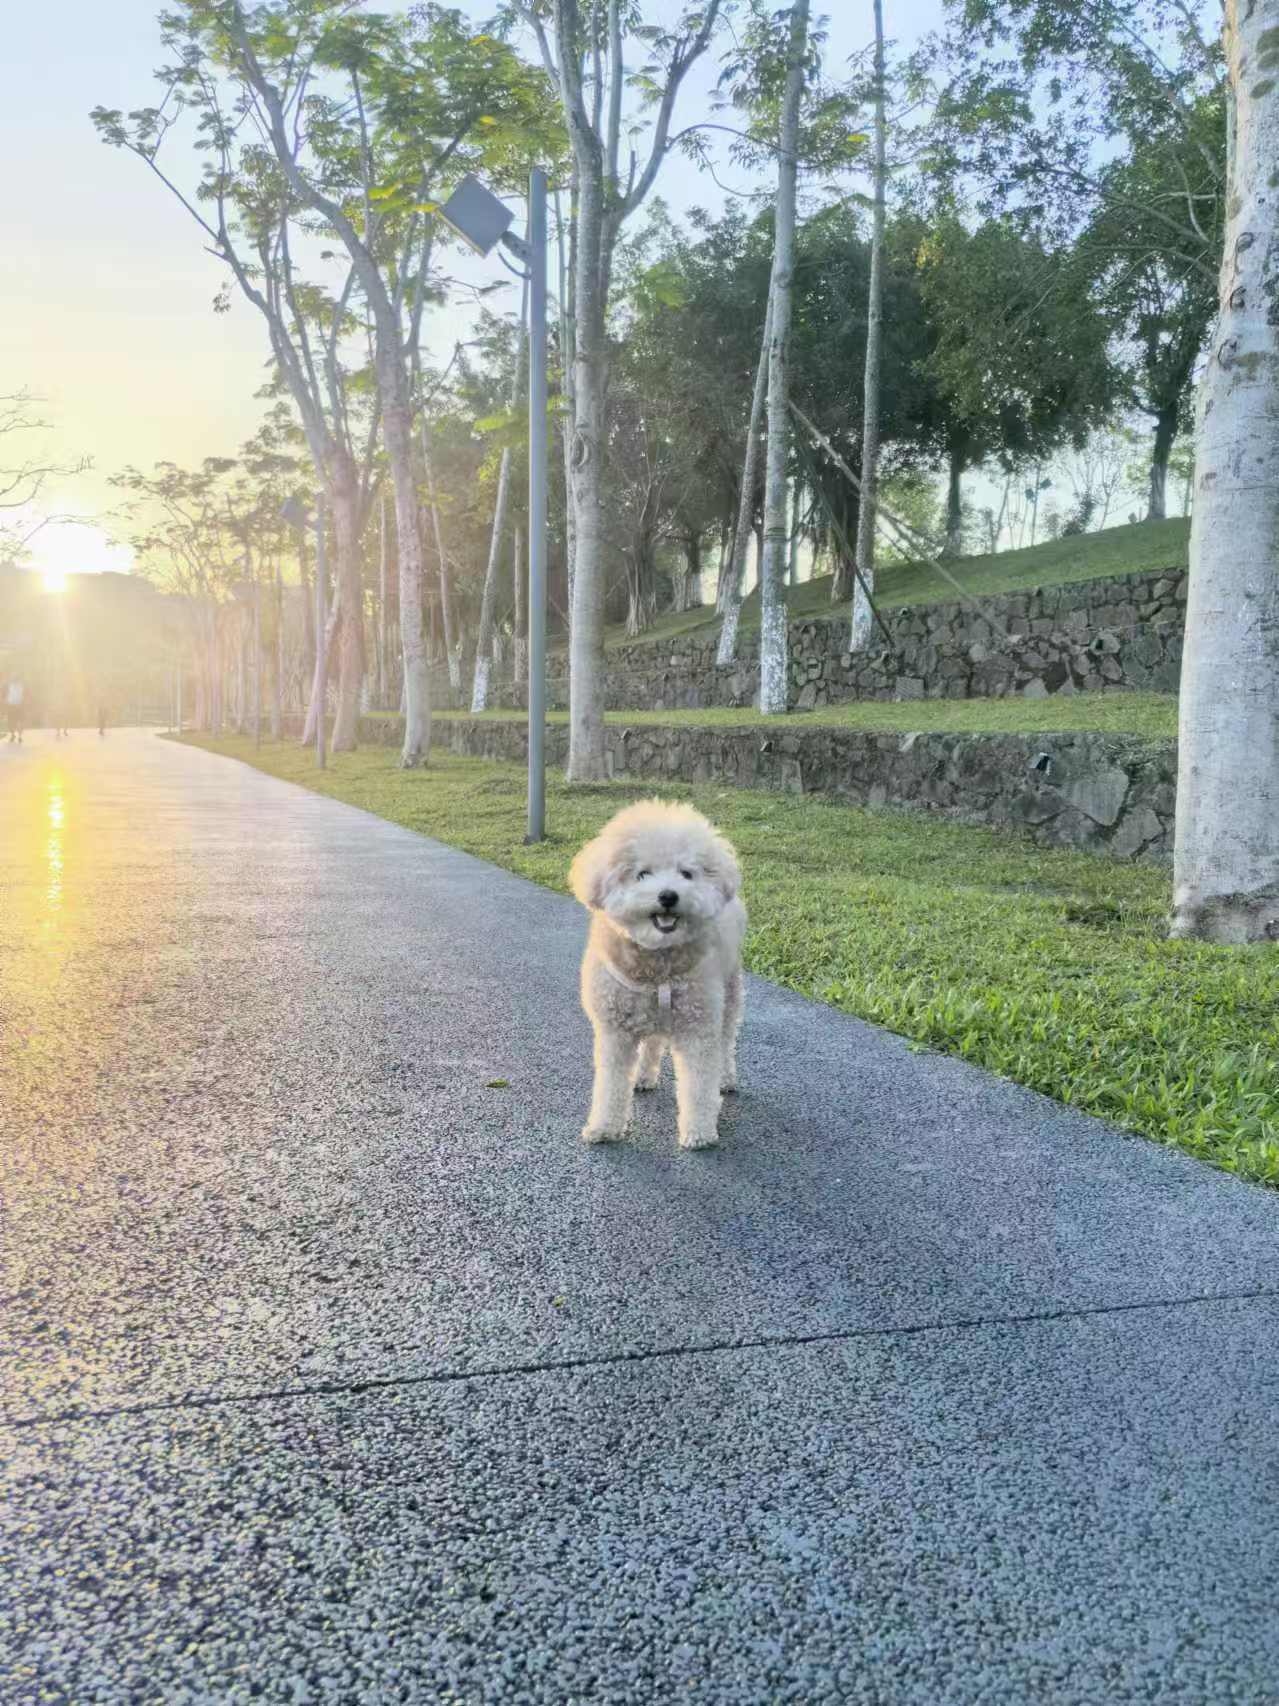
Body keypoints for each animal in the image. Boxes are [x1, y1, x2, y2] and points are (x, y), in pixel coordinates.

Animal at [568, 800, 746, 1149]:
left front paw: (699, 1132)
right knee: (652, 1042)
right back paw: (643, 1076)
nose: (668, 896)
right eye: (642, 874)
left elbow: (699, 1083)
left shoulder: (698, 1026)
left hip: (729, 993)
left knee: (726, 1040)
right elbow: (610, 1082)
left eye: (686, 873)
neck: (656, 965)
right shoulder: (615, 1030)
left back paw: (725, 1078)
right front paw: (604, 1126)